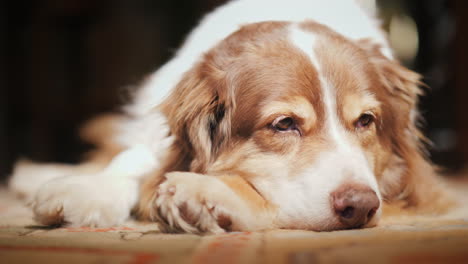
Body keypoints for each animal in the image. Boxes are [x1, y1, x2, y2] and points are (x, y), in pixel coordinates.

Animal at [10, 0, 450, 234]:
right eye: (284, 124)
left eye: (365, 121)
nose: (360, 206)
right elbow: (135, 159)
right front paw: (89, 190)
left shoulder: (419, 191)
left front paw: (209, 195)